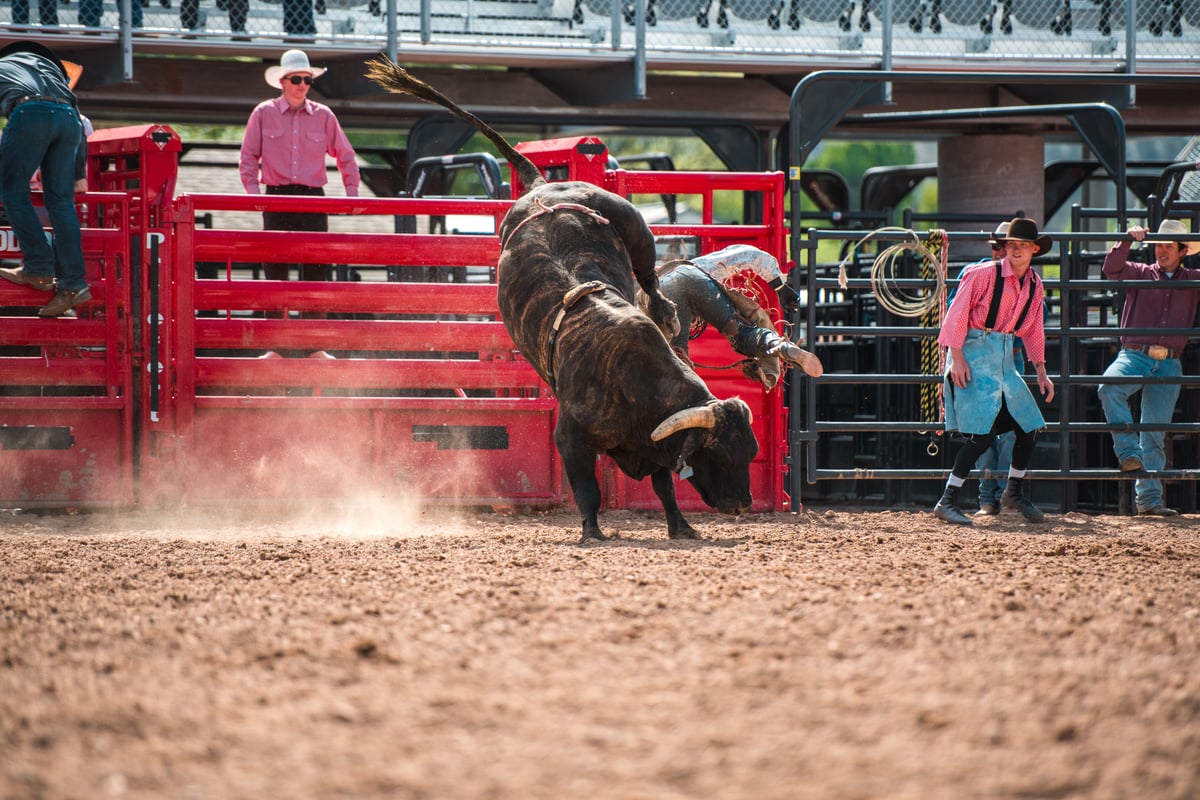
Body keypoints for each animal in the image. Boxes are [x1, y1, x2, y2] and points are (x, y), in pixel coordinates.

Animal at [366, 59, 758, 542]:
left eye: (750, 452)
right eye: (718, 454)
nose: (742, 504)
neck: (633, 379)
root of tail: (543, 189)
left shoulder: (651, 445)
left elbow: (664, 486)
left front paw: (681, 526)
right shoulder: (570, 439)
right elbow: (587, 489)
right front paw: (592, 531)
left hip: (629, 222)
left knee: (648, 274)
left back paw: (665, 314)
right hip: (629, 218)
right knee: (647, 270)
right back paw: (666, 314)